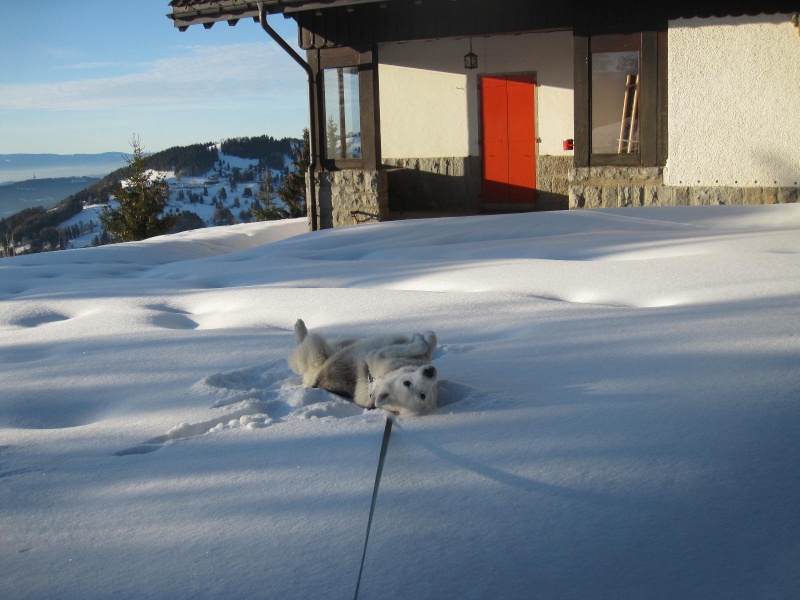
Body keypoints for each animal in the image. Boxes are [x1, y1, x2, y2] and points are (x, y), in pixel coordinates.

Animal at [288, 322, 438, 414]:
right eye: (407, 383)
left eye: (423, 395)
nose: (429, 372)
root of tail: (313, 382)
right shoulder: (382, 355)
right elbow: (426, 345)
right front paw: (426, 336)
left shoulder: (379, 356)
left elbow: (422, 346)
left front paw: (423, 337)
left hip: (316, 347)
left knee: (302, 345)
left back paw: (299, 328)